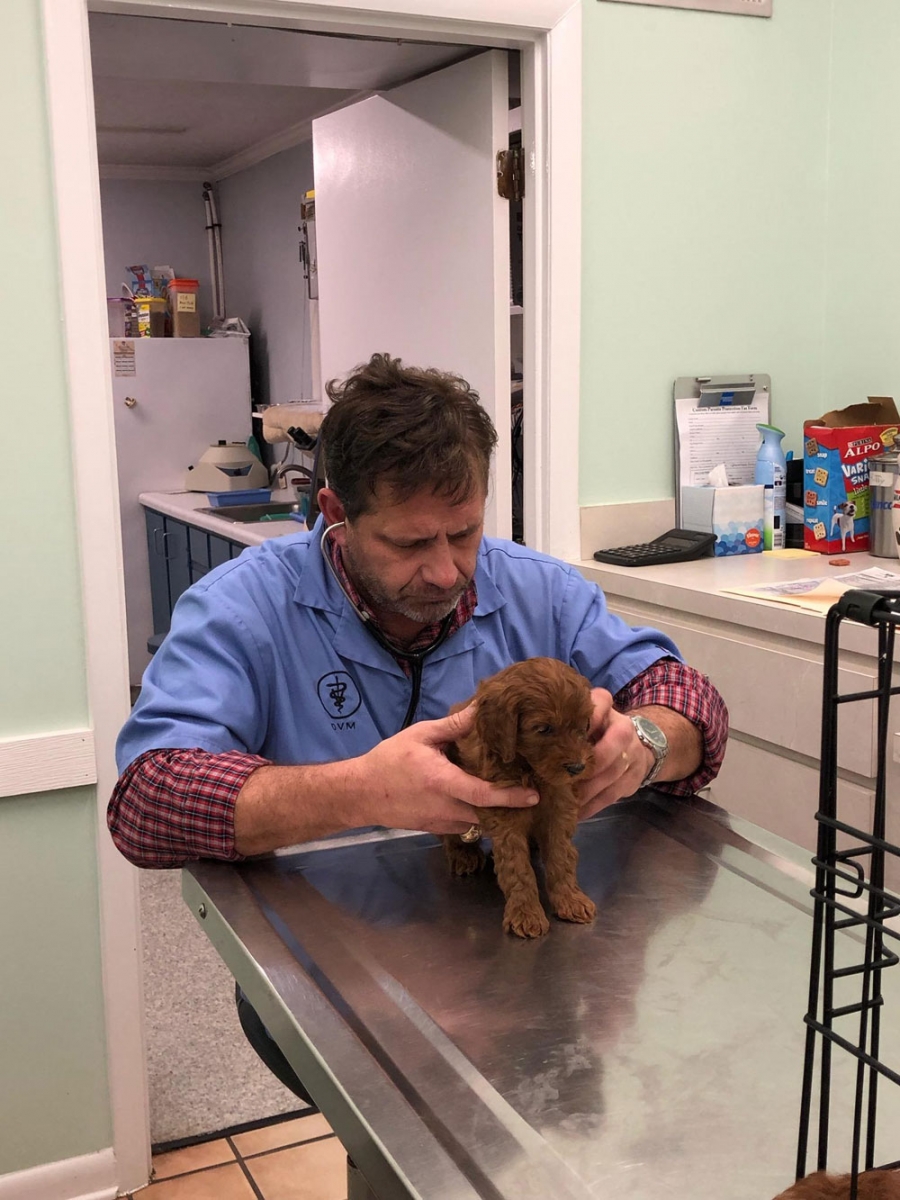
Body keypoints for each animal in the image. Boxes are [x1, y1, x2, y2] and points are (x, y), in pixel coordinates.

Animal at [443, 657, 597, 939]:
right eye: (543, 729)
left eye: (583, 725)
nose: (578, 768)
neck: (531, 771)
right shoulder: (505, 811)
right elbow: (517, 866)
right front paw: (526, 914)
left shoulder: (560, 807)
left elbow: (561, 855)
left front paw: (570, 899)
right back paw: (464, 855)